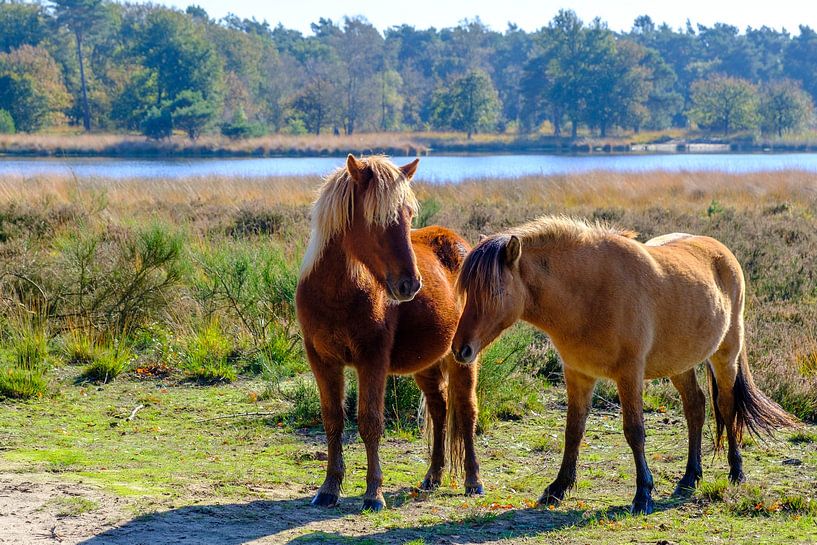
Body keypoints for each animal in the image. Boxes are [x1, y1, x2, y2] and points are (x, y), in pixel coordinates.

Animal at [296, 154, 483, 512]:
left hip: (462, 359)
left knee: (466, 411)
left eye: (409, 216)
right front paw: (329, 488)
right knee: (439, 409)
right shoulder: (322, 362)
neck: (337, 294)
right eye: (374, 219)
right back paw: (432, 476)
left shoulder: (373, 361)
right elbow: (333, 420)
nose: (410, 284)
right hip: (427, 364)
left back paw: (473, 481)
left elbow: (370, 422)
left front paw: (373, 493)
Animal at [450, 216, 797, 514]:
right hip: (680, 365)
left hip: (725, 354)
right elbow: (573, 431)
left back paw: (736, 471)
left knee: (726, 406)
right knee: (695, 408)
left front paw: (643, 494)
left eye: (494, 291)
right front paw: (557, 488)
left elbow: (635, 431)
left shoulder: (629, 374)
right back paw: (688, 479)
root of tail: (722, 252)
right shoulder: (578, 375)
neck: (589, 293)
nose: (460, 349)